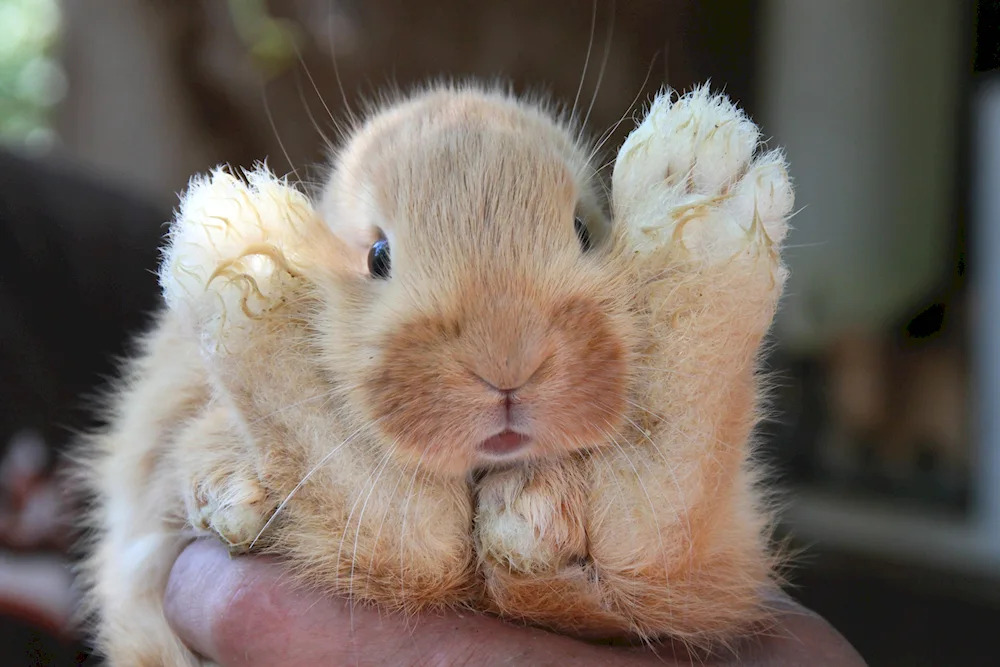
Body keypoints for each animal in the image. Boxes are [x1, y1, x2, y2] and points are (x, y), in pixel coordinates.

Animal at [68, 81, 796, 664]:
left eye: (585, 231)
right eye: (378, 256)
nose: (508, 363)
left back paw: (699, 185)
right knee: (416, 538)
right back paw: (241, 241)